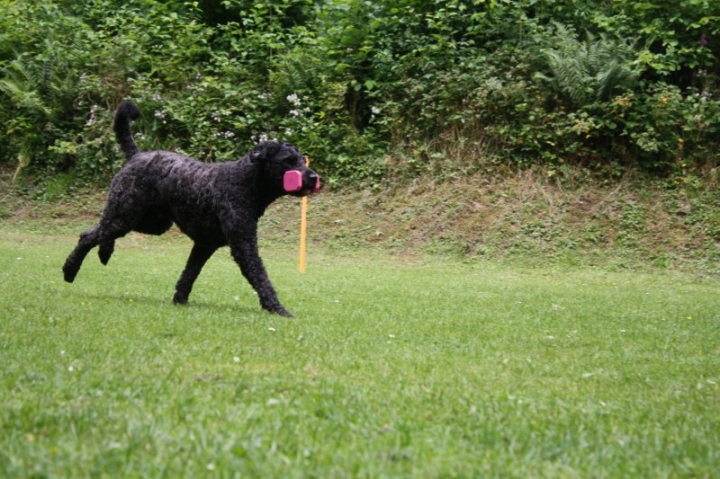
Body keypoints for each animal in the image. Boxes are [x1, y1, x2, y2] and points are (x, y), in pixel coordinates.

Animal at [62, 101, 320, 316]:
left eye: (301, 159)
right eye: (288, 161)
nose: (313, 177)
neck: (245, 182)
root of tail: (137, 155)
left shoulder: (204, 244)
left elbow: (189, 274)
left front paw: (180, 299)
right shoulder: (243, 245)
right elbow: (260, 277)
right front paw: (276, 307)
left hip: (149, 221)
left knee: (99, 231)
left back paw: (105, 251)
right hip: (126, 215)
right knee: (88, 235)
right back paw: (70, 269)